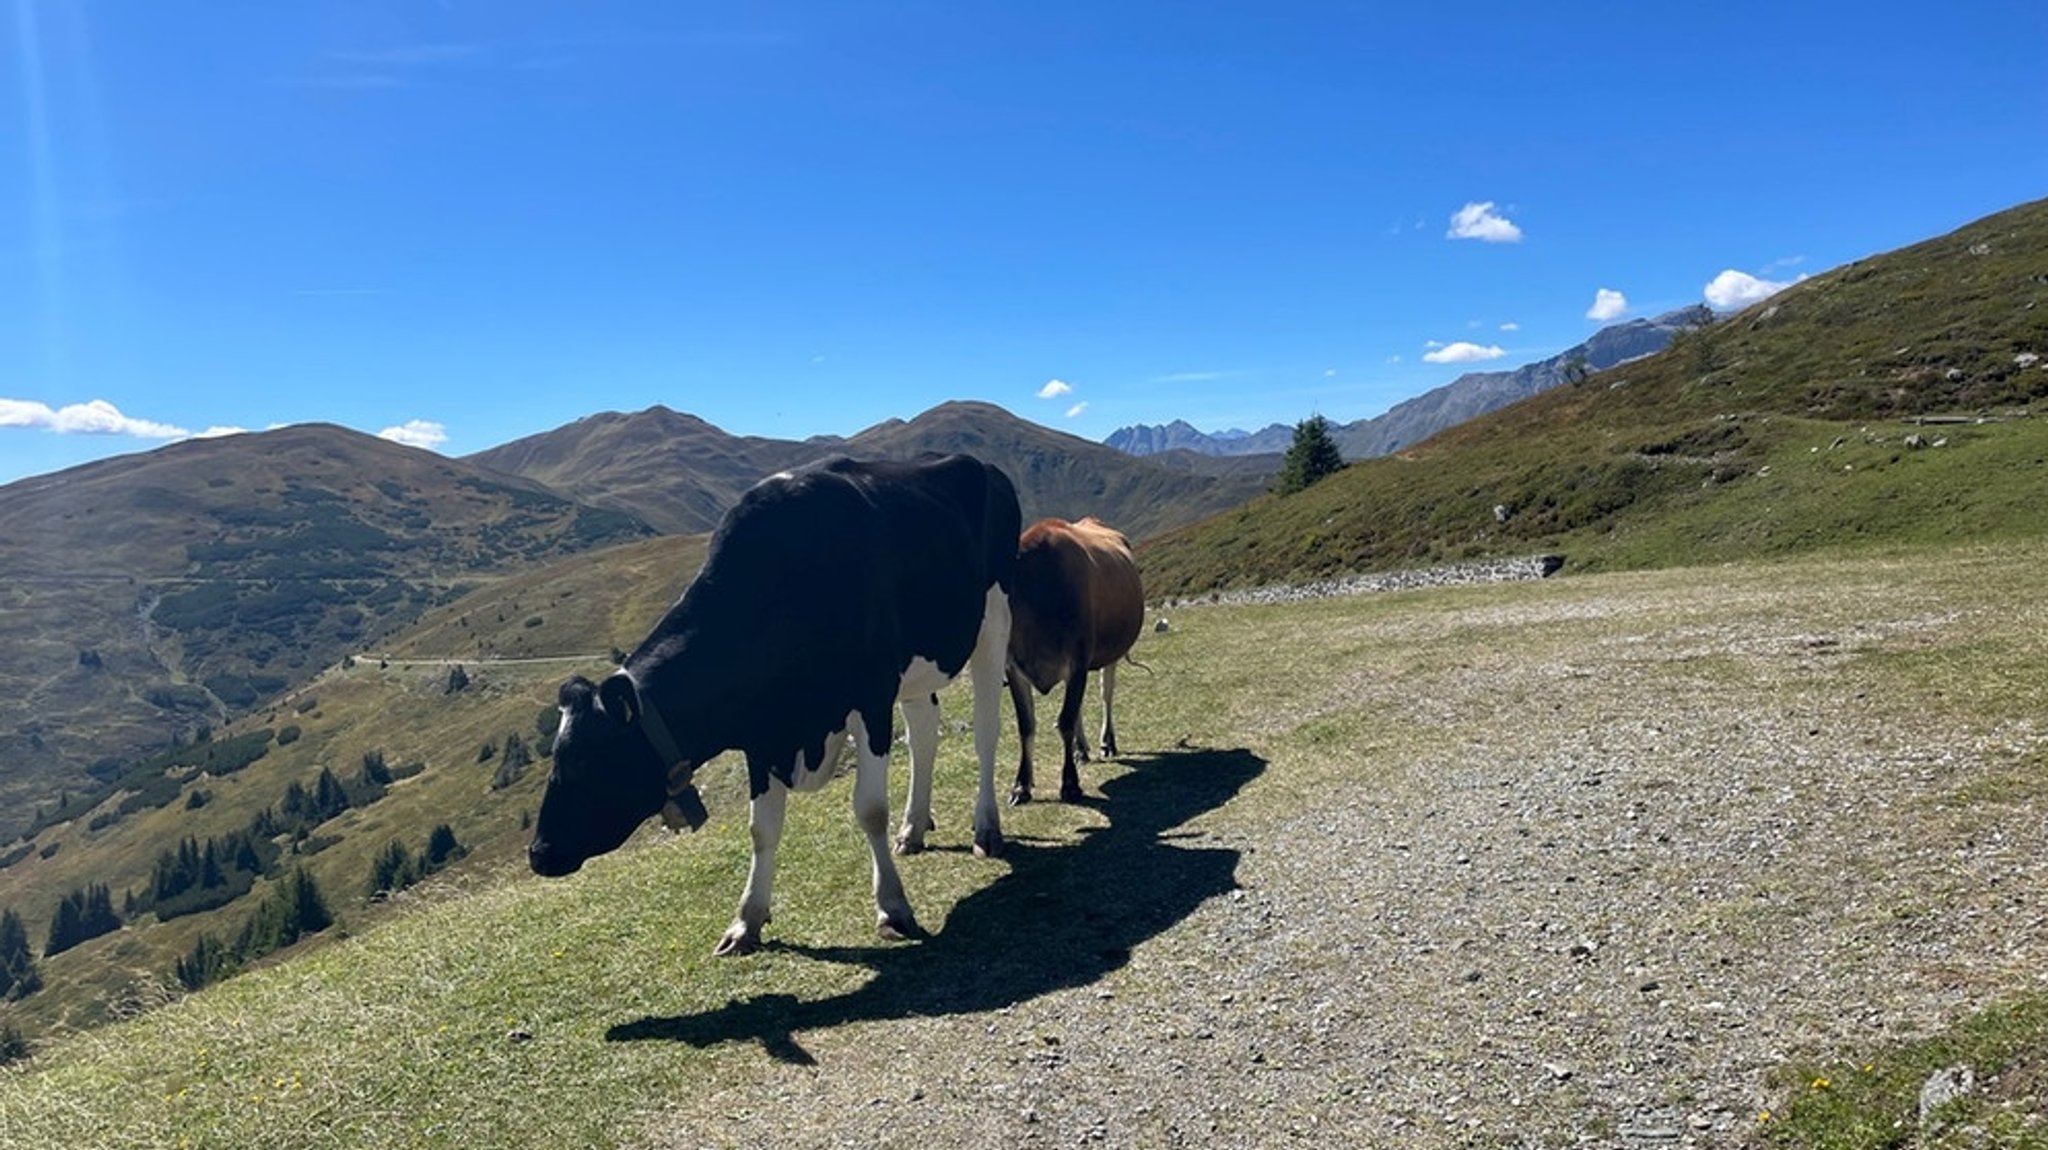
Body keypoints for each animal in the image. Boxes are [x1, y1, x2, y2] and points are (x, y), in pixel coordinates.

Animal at [528, 452, 1024, 953]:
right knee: (924, 734)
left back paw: (986, 827)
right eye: (557, 758)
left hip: (994, 617)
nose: (539, 853)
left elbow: (869, 809)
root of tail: (981, 465)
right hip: (918, 664)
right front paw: (746, 921)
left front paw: (892, 908)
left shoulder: (870, 698)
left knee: (985, 729)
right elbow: (760, 828)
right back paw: (914, 828)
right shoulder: (761, 732)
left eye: (587, 762)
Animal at [1011, 515, 1155, 802]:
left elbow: (1065, 721)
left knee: (1105, 694)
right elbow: (1026, 726)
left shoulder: (1077, 661)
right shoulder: (1012, 666)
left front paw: (1070, 784)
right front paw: (1022, 785)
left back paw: (1106, 742)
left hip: (1110, 652)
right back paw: (1081, 750)